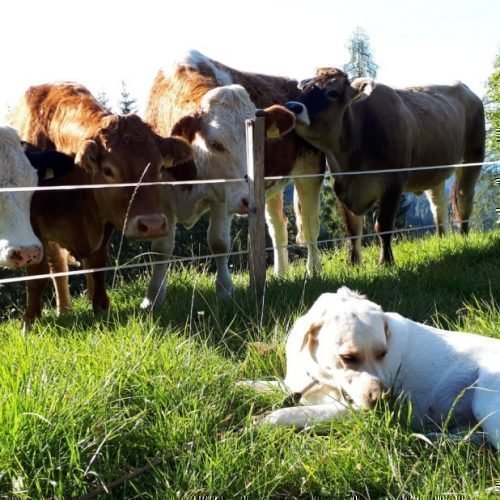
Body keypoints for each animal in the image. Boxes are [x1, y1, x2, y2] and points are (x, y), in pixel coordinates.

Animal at [9, 82, 195, 326]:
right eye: (108, 170)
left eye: (160, 167)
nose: (153, 225)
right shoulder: (32, 226)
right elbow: (37, 275)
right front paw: (30, 320)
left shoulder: (104, 222)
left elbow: (97, 266)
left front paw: (100, 308)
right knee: (57, 266)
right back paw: (63, 310)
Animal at [141, 50, 324, 308]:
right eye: (215, 144)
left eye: (256, 139)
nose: (248, 200)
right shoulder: (163, 197)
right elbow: (161, 249)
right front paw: (153, 298)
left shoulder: (223, 198)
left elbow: (219, 242)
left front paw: (225, 291)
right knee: (278, 227)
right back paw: (280, 273)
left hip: (310, 170)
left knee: (309, 225)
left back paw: (314, 270)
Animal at [250, 286, 500, 450]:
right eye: (348, 357)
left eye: (383, 353)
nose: (383, 400)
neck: (322, 378)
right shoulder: (292, 385)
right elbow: (256, 384)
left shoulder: (350, 409)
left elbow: (291, 413)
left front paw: (260, 423)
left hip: (485, 402)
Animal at [286, 70, 484, 268]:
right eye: (304, 88)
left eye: (332, 93)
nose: (292, 106)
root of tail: (464, 87)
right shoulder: (342, 188)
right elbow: (352, 229)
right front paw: (354, 263)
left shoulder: (393, 184)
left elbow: (383, 226)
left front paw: (386, 261)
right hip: (435, 169)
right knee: (438, 206)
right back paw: (442, 240)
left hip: (472, 157)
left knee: (464, 199)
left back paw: (464, 239)